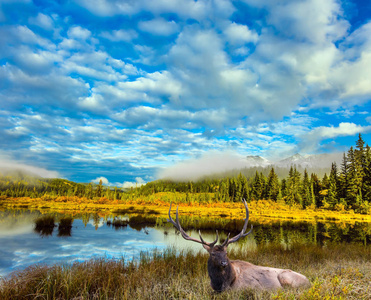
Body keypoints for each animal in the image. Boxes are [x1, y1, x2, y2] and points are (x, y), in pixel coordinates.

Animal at [168, 200, 310, 292]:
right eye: (213, 254)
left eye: (226, 253)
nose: (224, 263)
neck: (222, 284)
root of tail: (309, 281)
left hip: (286, 278)